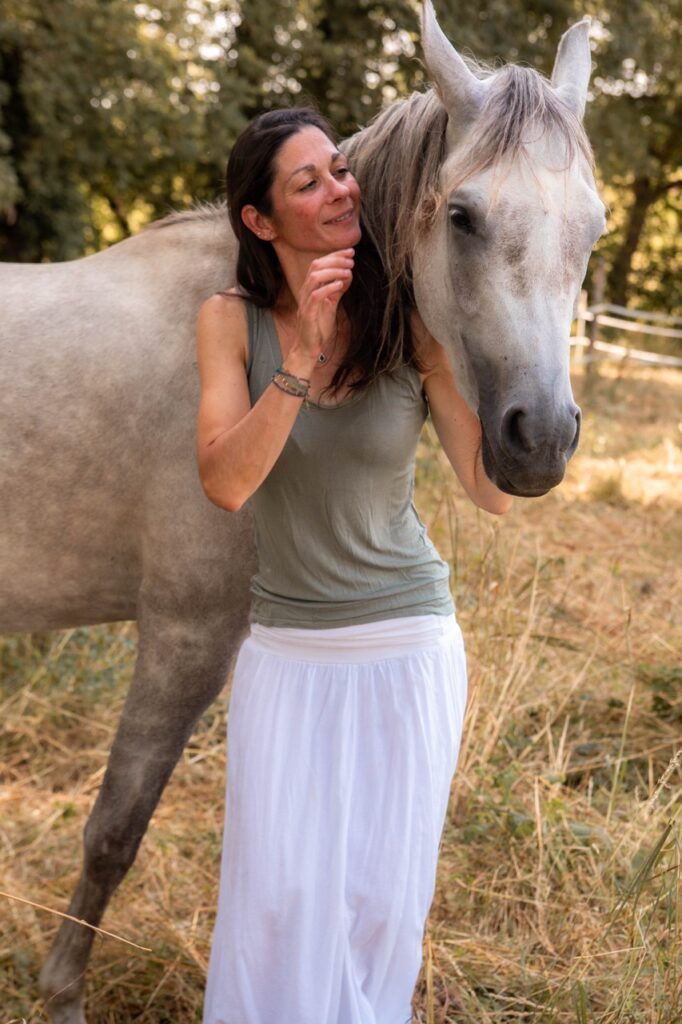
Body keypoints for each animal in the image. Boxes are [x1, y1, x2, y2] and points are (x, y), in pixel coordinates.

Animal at [0, 3, 604, 1020]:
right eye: (463, 215)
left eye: (593, 228)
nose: (541, 440)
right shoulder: (185, 635)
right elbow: (113, 832)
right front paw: (64, 995)